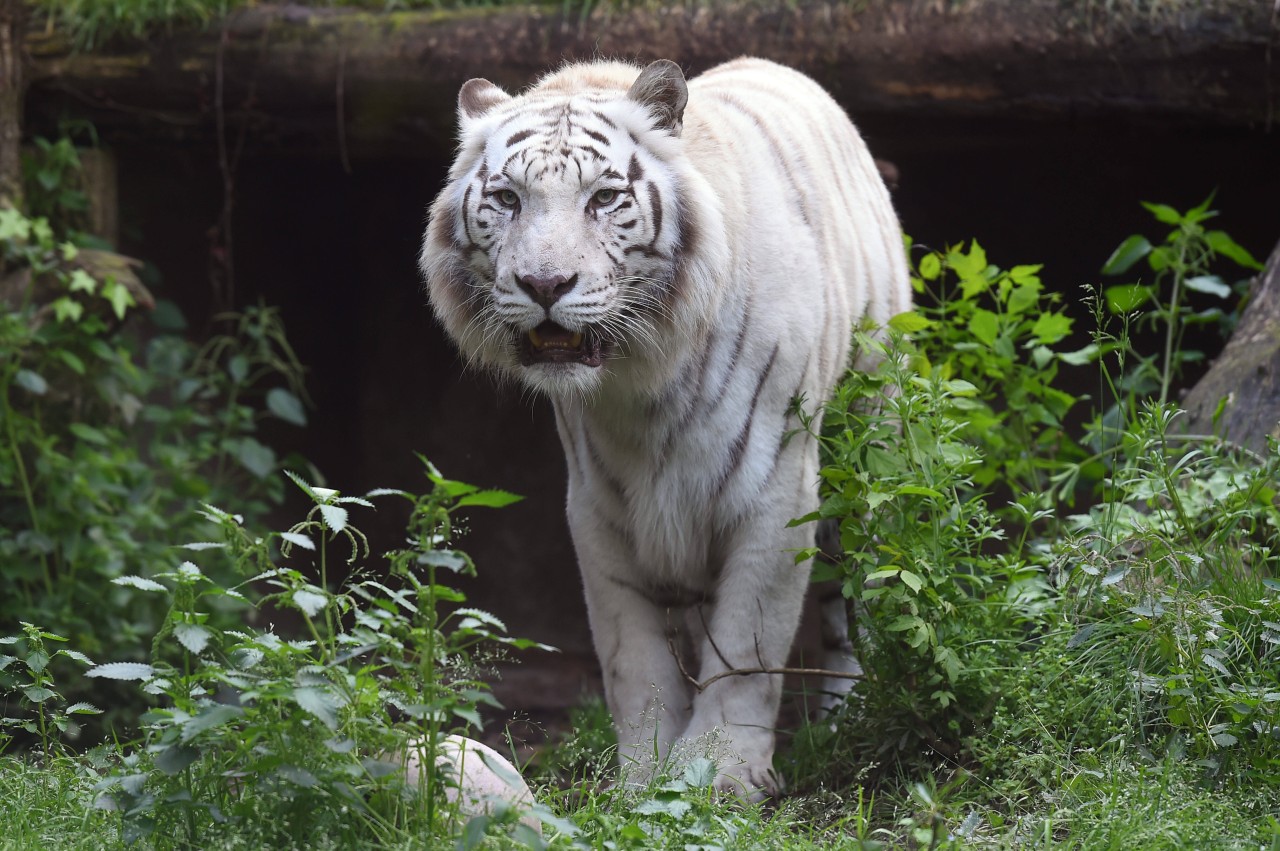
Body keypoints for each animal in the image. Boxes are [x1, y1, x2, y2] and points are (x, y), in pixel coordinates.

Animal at [419, 58, 911, 798]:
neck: (643, 378)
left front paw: (722, 772)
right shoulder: (599, 507)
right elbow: (634, 656)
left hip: (868, 440)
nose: (543, 284)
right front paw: (645, 776)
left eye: (602, 198)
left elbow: (748, 642)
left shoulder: (777, 491)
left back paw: (852, 708)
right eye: (506, 199)